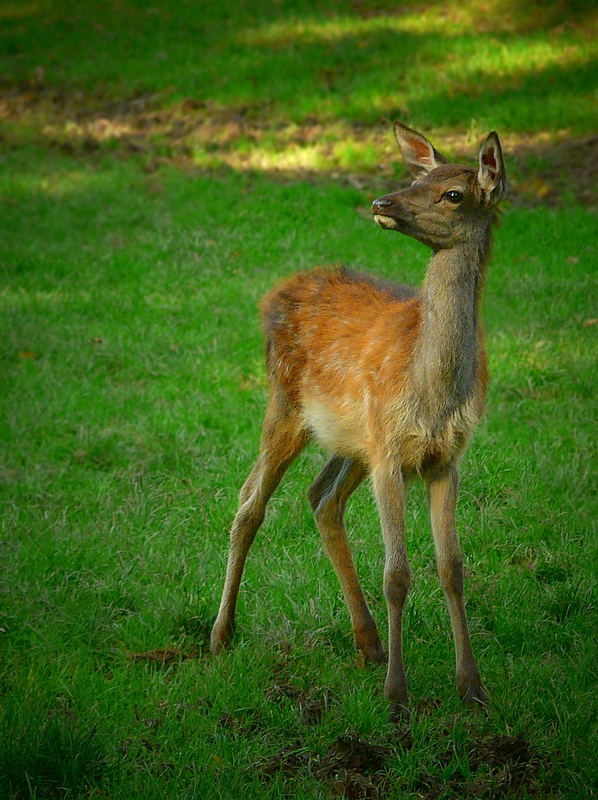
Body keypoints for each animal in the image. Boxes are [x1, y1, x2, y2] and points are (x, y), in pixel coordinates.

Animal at [213, 122, 508, 720]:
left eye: (453, 193)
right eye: (417, 179)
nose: (382, 202)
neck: (433, 387)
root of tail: (274, 293)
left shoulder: (444, 457)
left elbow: (453, 568)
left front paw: (473, 688)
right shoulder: (391, 455)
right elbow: (397, 574)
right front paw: (397, 698)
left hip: (354, 439)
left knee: (321, 497)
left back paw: (367, 641)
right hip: (288, 406)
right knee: (249, 501)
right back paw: (221, 634)